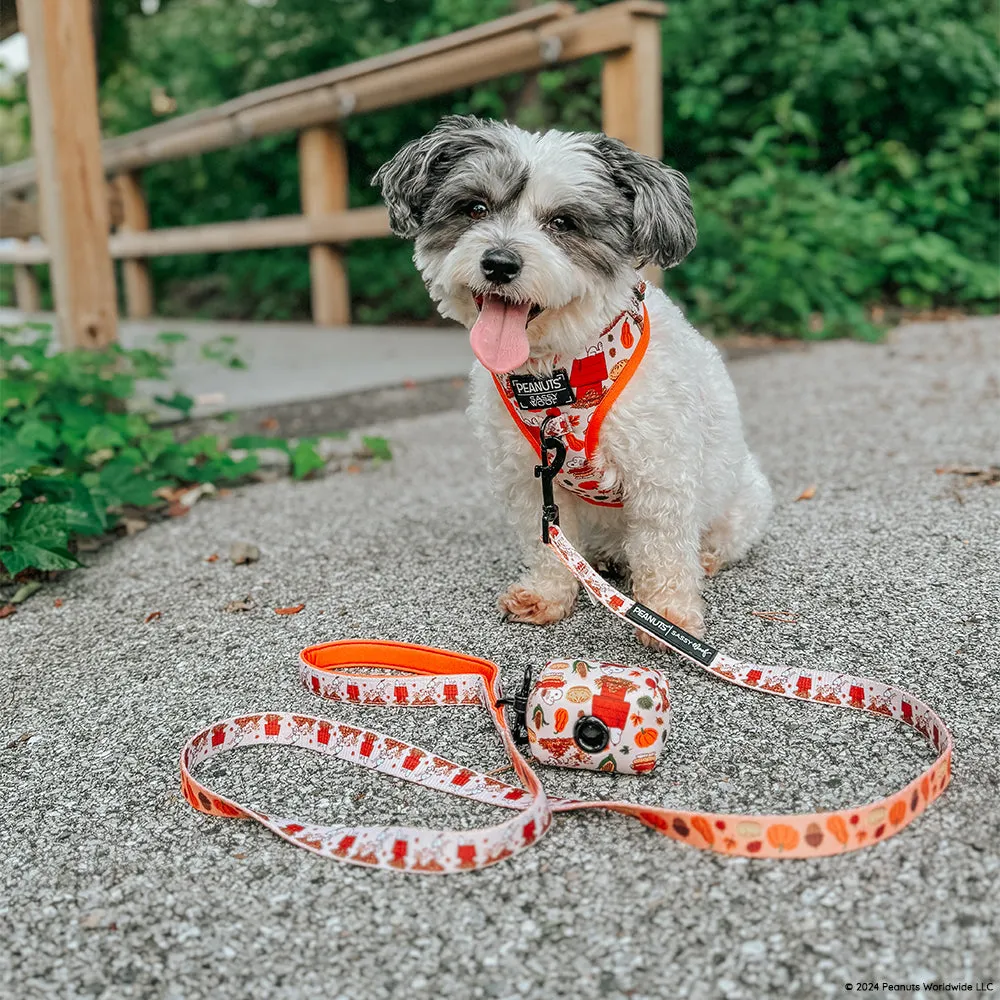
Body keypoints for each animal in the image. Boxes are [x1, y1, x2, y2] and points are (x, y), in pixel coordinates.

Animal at [376, 111, 772, 640]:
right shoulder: (530, 479)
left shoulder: (660, 475)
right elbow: (546, 544)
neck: (557, 378)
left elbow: (664, 551)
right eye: (475, 207)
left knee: (718, 539)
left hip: (745, 498)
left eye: (563, 222)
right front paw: (546, 595)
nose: (499, 262)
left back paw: (704, 558)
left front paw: (668, 617)